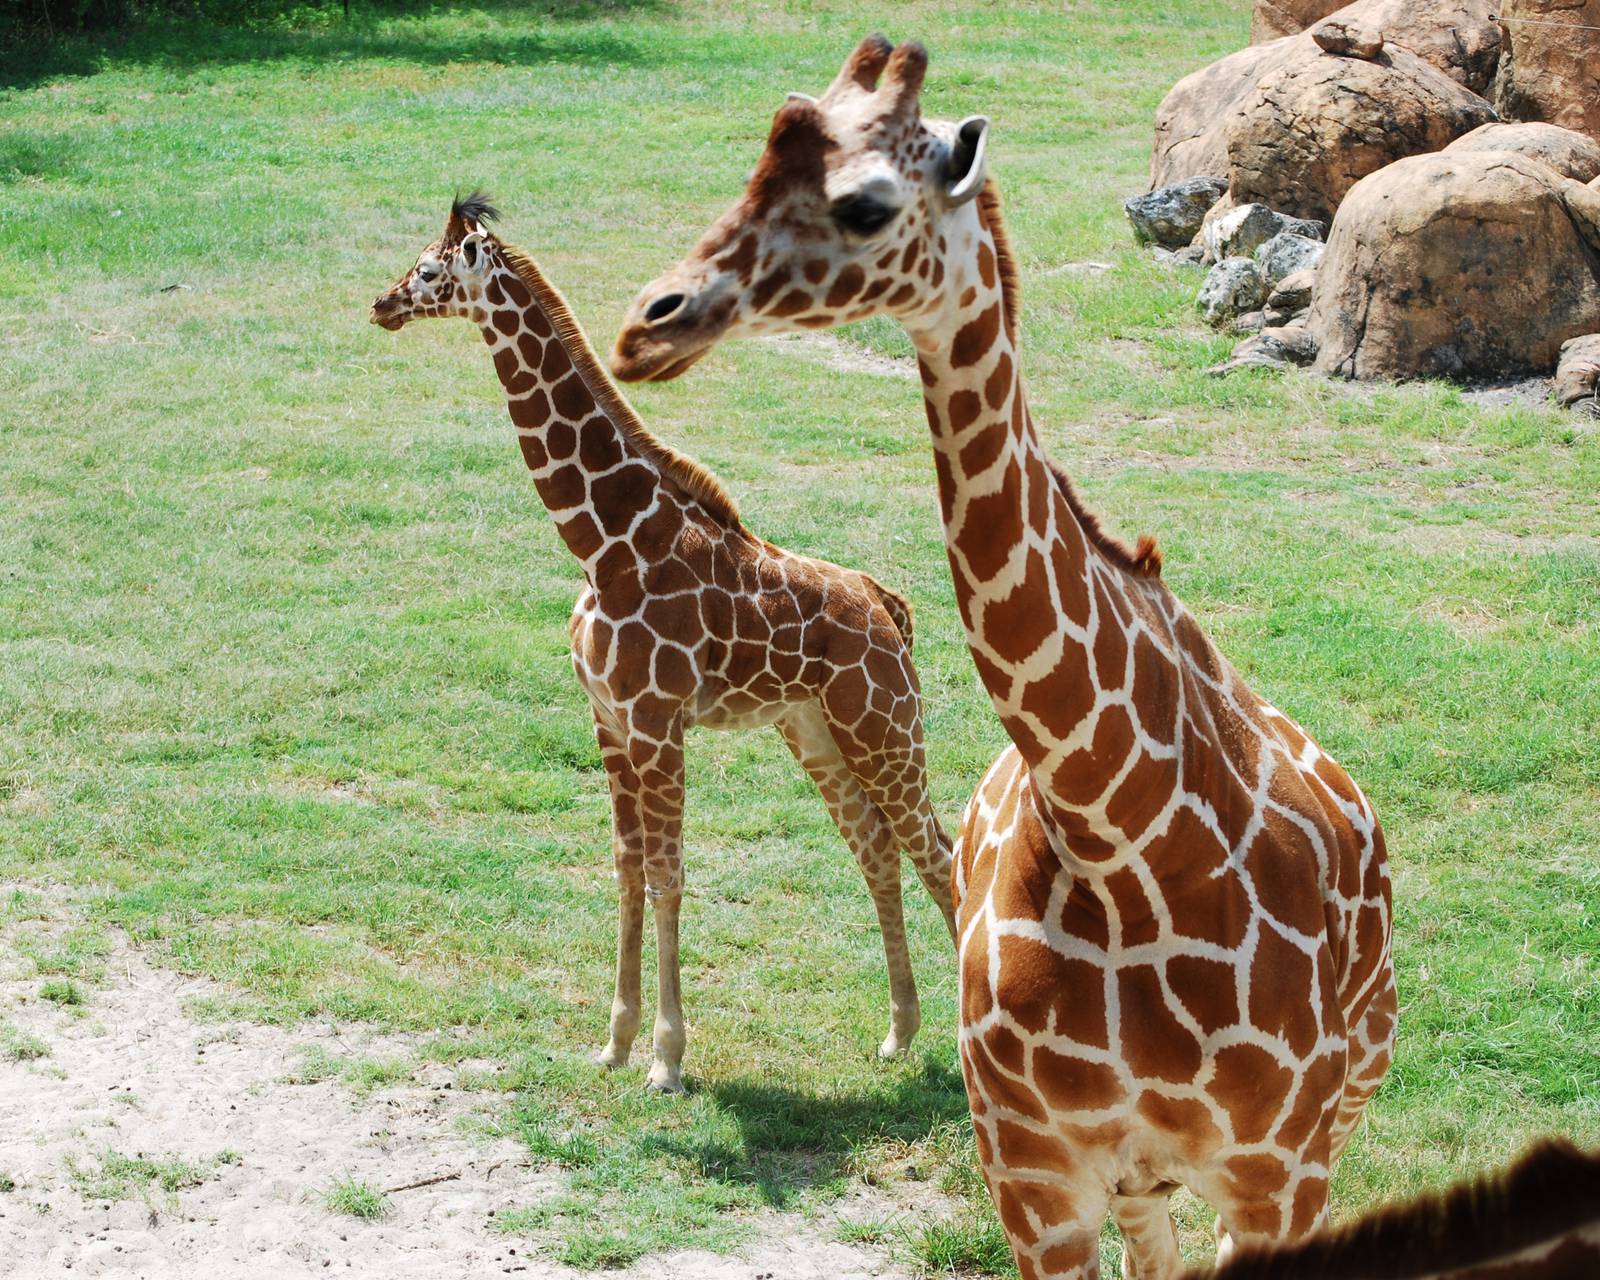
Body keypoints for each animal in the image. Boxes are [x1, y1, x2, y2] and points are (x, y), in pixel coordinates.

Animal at [369, 194, 956, 1094]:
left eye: (431, 271)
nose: (383, 304)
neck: (603, 545)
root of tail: (889, 607)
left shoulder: (658, 721)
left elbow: (671, 874)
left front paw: (668, 1059)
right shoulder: (608, 719)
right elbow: (628, 867)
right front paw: (613, 1043)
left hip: (885, 727)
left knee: (940, 850)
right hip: (817, 731)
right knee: (876, 846)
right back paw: (898, 1034)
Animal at [609, 36, 1397, 1275]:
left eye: (865, 202)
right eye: (752, 166)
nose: (648, 323)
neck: (1127, 843)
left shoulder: (1279, 1172)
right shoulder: (1034, 1174)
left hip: (1335, 1109)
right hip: (1140, 1177)